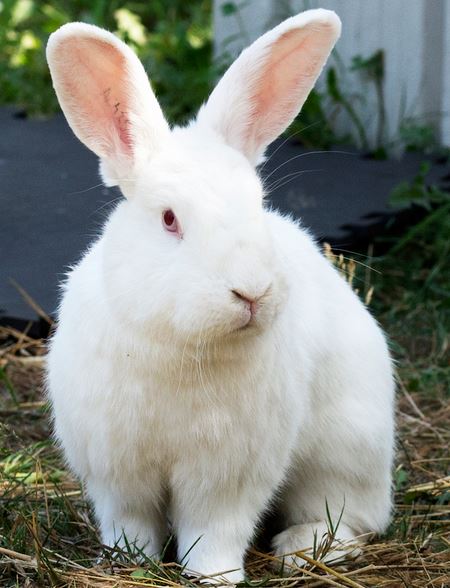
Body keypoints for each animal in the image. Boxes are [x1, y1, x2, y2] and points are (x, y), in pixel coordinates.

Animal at [46, 8, 395, 583]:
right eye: (169, 219)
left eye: (258, 204)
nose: (251, 291)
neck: (181, 348)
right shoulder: (117, 471)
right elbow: (130, 522)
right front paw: (127, 563)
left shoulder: (229, 472)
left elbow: (215, 529)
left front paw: (215, 576)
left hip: (346, 451)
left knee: (353, 518)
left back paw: (300, 547)